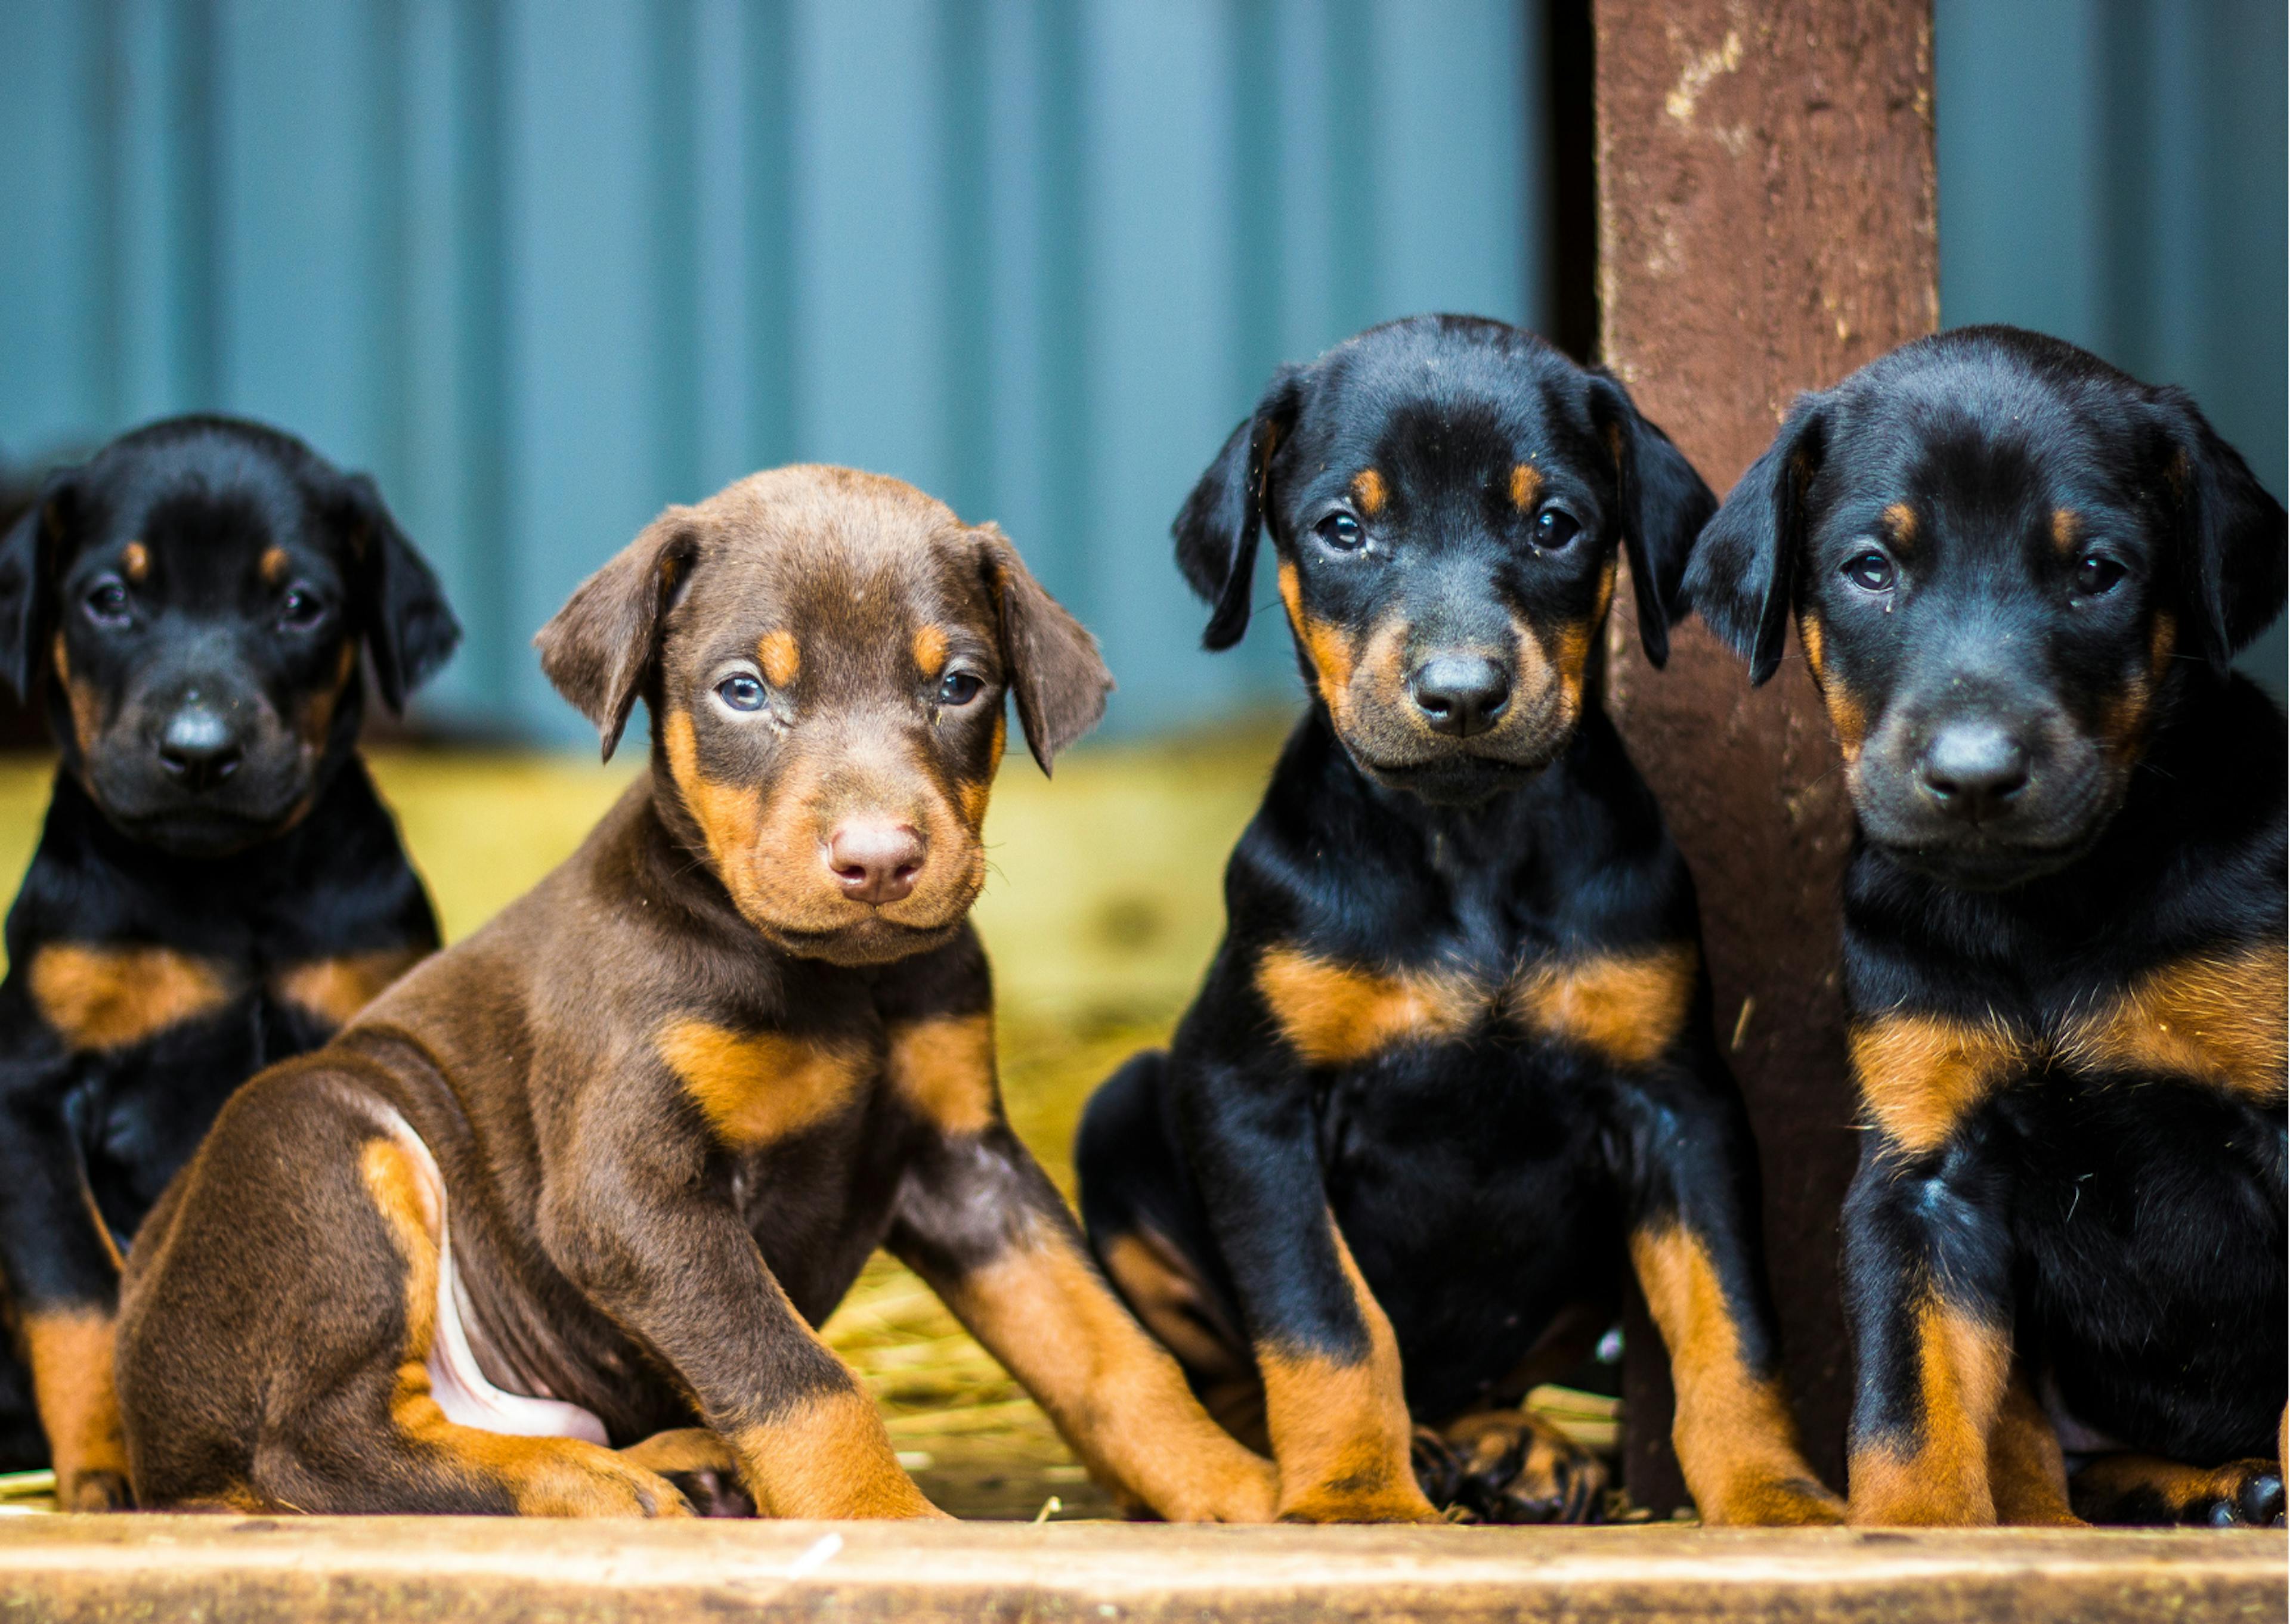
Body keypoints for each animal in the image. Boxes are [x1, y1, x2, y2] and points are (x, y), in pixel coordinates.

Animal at [0, 419, 460, 1511]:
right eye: (109, 598)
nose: (200, 751)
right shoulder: (31, 1088)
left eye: (299, 604)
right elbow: (76, 1291)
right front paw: (102, 1471)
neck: (226, 880)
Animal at [116, 464, 1282, 1521]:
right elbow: (797, 1376)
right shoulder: (629, 1192)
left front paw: (1245, 1489)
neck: (835, 983)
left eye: (958, 684)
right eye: (743, 690)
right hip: (323, 1134)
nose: (879, 859)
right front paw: (887, 1523)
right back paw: (585, 1483)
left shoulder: (969, 1164)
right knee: (315, 1444)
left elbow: (1110, 1350)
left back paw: (680, 1461)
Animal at [1072, 314, 1841, 1521]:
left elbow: (1732, 1325)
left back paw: (1511, 1443)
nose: (1464, 693)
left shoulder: (1680, 1102)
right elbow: (1324, 1319)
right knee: (1228, 1373)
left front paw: (1776, 1496)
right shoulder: (1250, 1098)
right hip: (1120, 1113)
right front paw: (1354, 1494)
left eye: (1554, 524)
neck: (1468, 843)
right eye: (1344, 529)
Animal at [1685, 323, 2290, 1530]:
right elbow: (1907, 1406)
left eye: (2097, 572)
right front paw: (1919, 1540)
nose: (1972, 776)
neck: (2045, 913)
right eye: (1871, 568)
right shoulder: (1924, 1170)